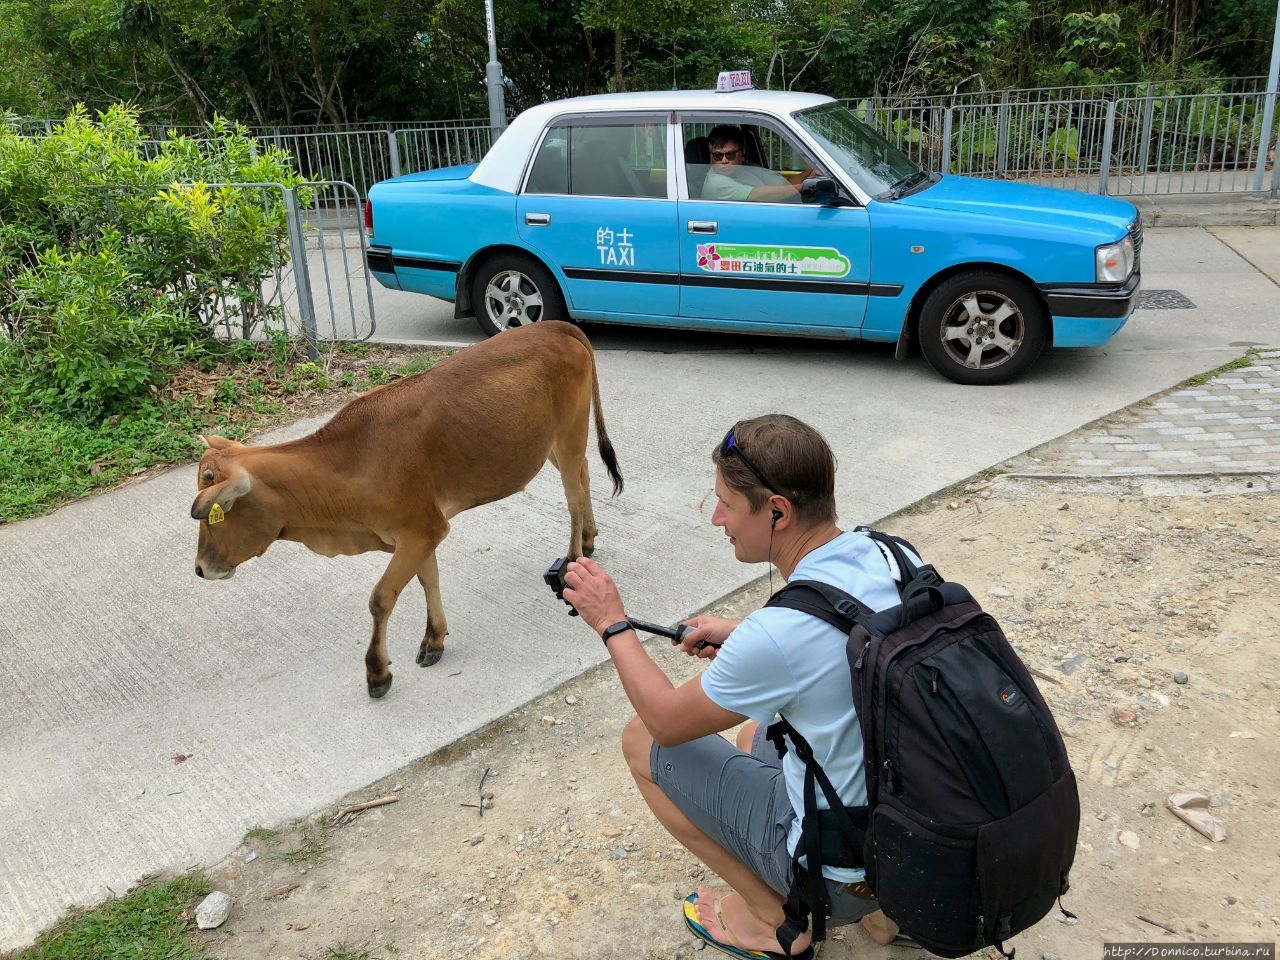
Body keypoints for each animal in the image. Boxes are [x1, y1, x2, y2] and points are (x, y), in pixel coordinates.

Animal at [190, 323, 624, 701]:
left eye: (215, 513)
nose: (199, 569)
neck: (348, 465)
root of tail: (554, 326)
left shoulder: (421, 530)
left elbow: (381, 598)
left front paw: (377, 673)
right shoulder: (418, 533)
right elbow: (427, 580)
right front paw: (434, 638)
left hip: (569, 434)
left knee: (573, 492)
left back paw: (573, 559)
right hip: (551, 444)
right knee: (584, 475)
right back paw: (589, 538)